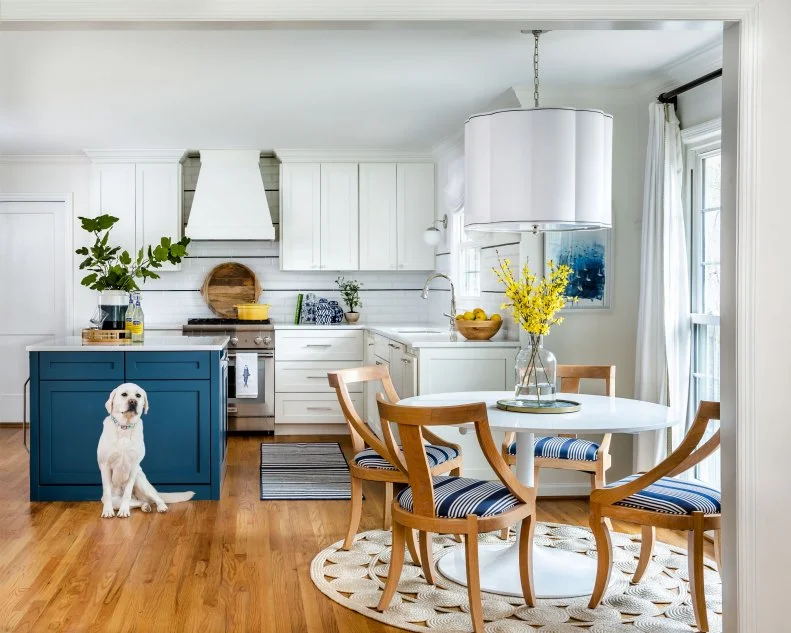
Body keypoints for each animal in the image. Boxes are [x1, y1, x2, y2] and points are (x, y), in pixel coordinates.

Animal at [97, 382, 195, 516]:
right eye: (124, 394)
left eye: (138, 395)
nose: (133, 401)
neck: (125, 428)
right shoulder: (105, 465)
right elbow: (107, 492)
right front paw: (107, 511)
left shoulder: (134, 467)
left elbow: (127, 493)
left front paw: (124, 511)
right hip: (117, 500)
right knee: (139, 501)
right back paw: (144, 506)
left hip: (140, 481)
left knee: (154, 498)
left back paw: (161, 506)